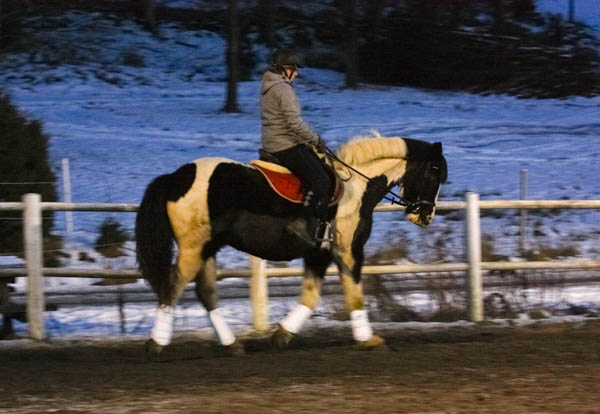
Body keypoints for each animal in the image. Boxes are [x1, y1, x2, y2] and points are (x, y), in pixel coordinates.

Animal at [135, 132, 448, 357]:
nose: (426, 215)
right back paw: (156, 344)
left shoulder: (319, 255)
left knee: (206, 292)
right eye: (434, 172)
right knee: (173, 286)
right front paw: (369, 340)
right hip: (194, 248)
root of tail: (176, 177)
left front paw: (282, 335)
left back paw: (232, 345)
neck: (356, 187)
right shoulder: (348, 251)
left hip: (208, 248)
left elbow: (310, 297)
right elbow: (355, 294)